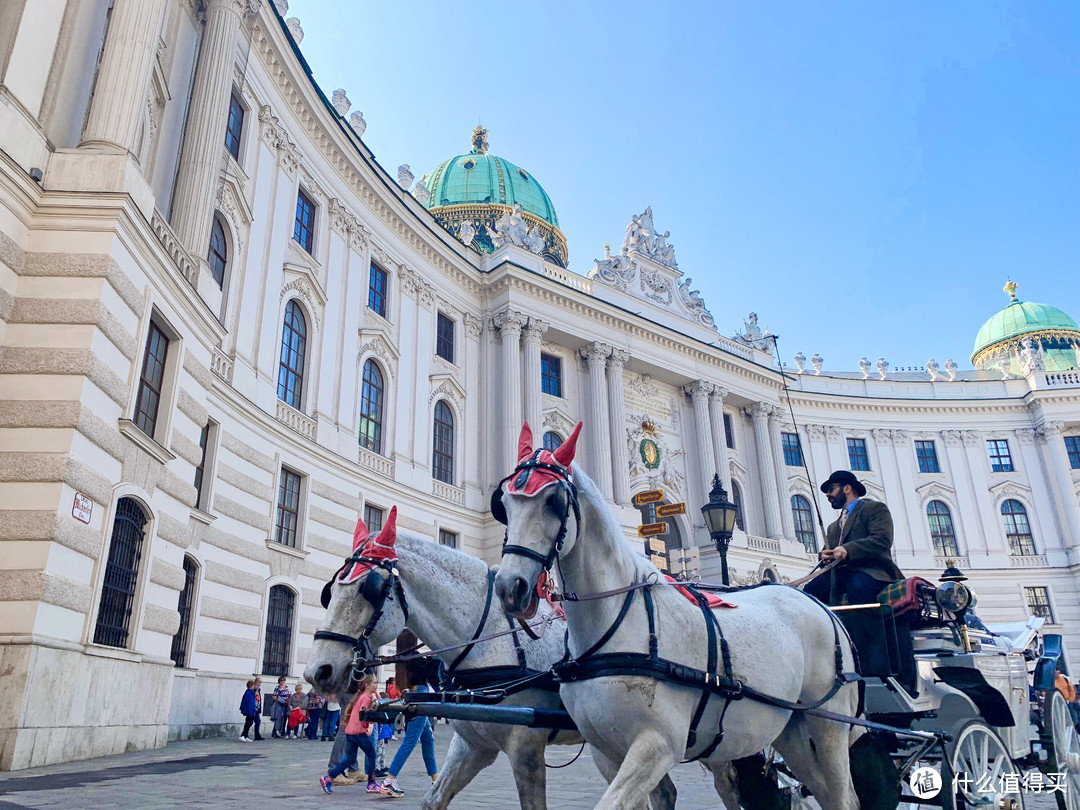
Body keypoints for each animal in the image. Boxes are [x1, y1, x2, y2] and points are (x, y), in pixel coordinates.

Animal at [304, 507, 673, 810]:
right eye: (329, 591)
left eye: (370, 588)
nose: (316, 671)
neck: (488, 640)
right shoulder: (472, 744)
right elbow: (433, 798)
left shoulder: (525, 746)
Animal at [494, 425, 859, 810]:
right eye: (503, 504)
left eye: (554, 501)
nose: (510, 587)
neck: (619, 623)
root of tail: (820, 606)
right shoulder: (606, 752)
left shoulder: (658, 745)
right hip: (791, 728)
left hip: (829, 726)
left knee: (842, 795)